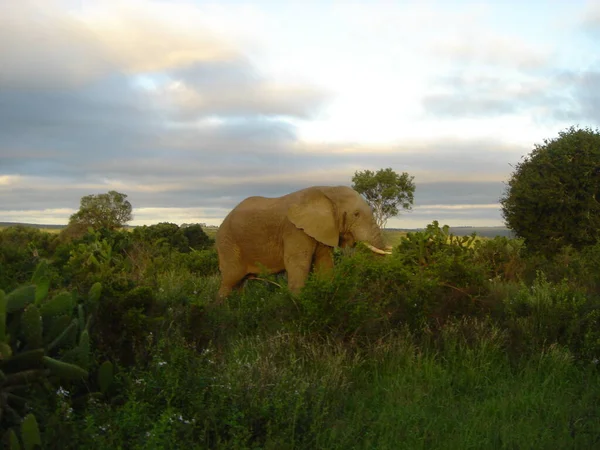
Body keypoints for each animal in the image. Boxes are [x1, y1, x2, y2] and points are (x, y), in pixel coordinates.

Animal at [213, 185, 392, 300]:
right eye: (356, 214)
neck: (328, 191)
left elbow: (325, 263)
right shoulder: (294, 230)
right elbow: (298, 264)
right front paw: (296, 307)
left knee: (239, 283)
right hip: (227, 242)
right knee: (230, 280)